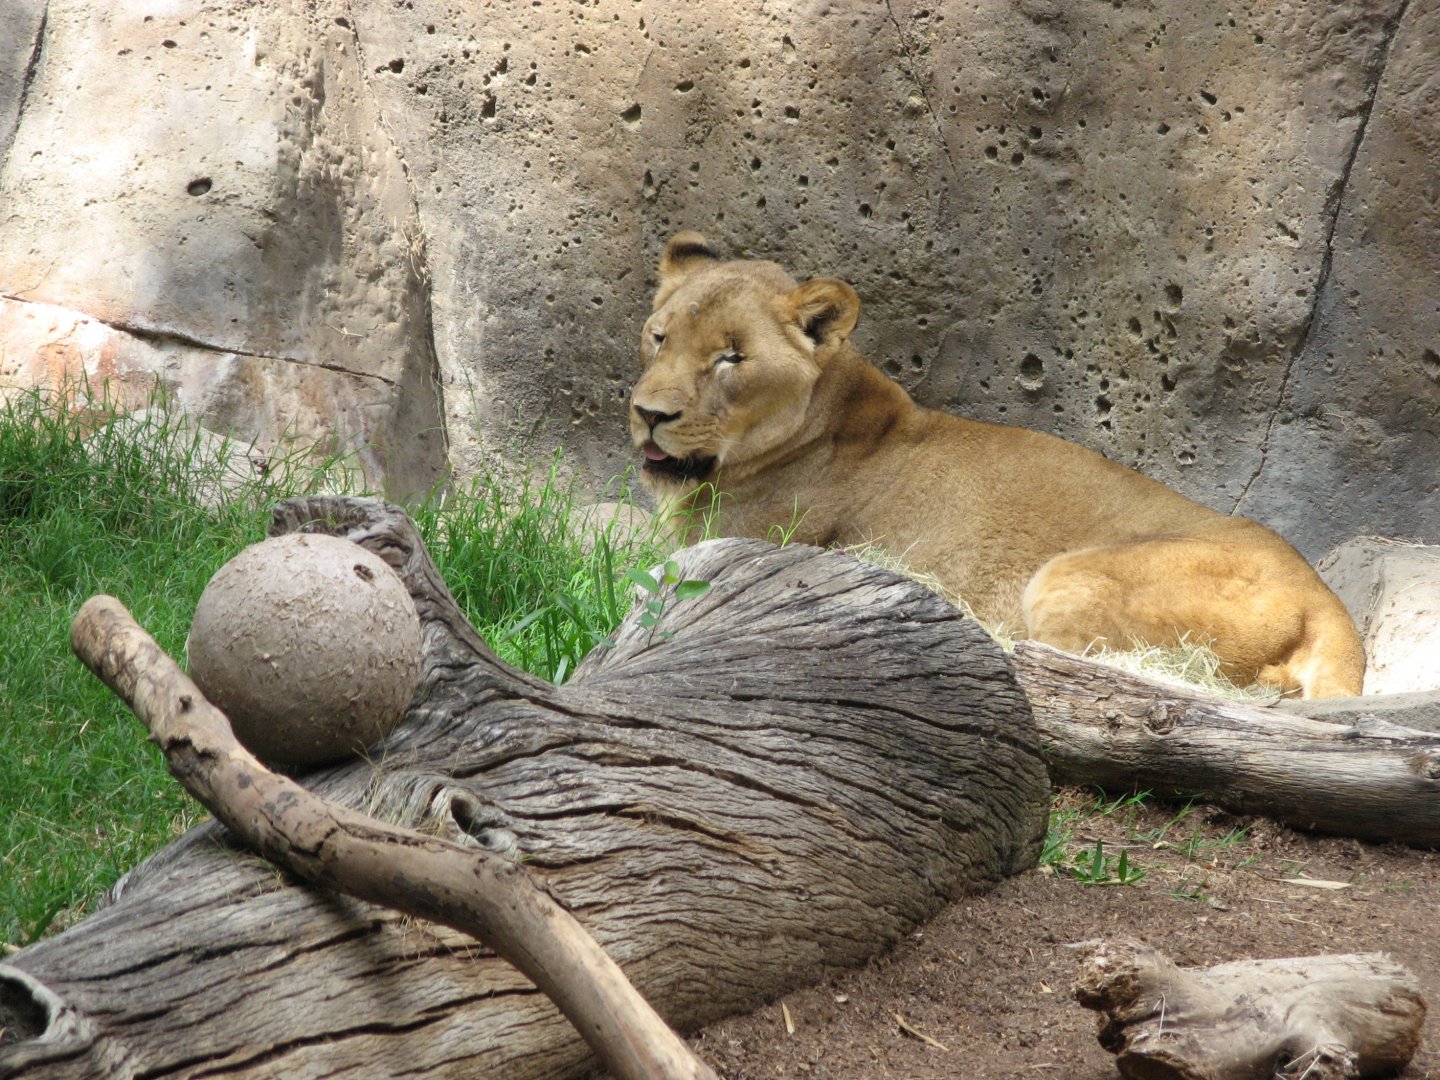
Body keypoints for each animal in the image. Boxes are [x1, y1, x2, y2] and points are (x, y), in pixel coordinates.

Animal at [629, 231, 1366, 699]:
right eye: (659, 337)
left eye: (731, 357)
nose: (648, 413)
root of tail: (1327, 605)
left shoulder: (732, 545)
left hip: (1067, 579)